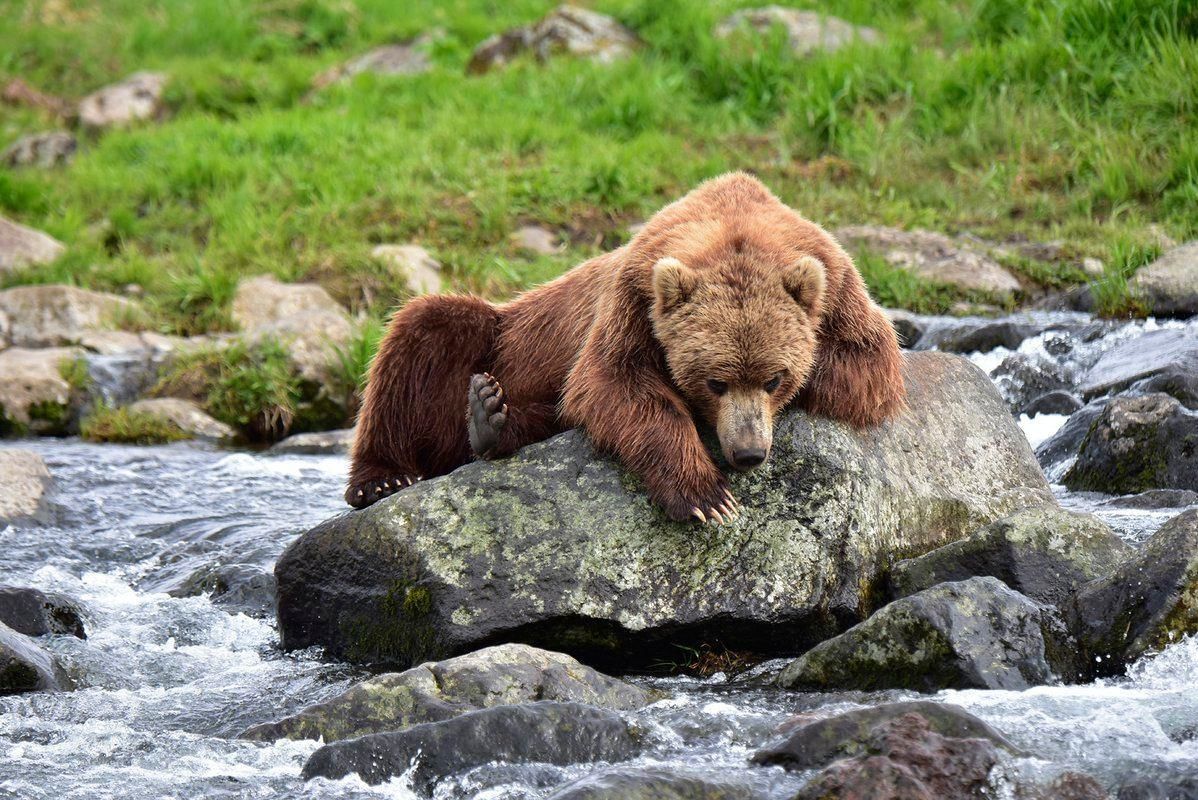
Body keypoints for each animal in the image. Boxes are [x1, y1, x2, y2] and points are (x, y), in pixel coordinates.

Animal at [349, 172, 900, 522]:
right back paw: (385, 476)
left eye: (773, 378)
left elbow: (868, 365)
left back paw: (491, 419)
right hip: (504, 334)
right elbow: (615, 383)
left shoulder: (839, 285)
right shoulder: (633, 300)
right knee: (422, 334)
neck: (734, 226)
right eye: (715, 381)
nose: (747, 453)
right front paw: (706, 495)